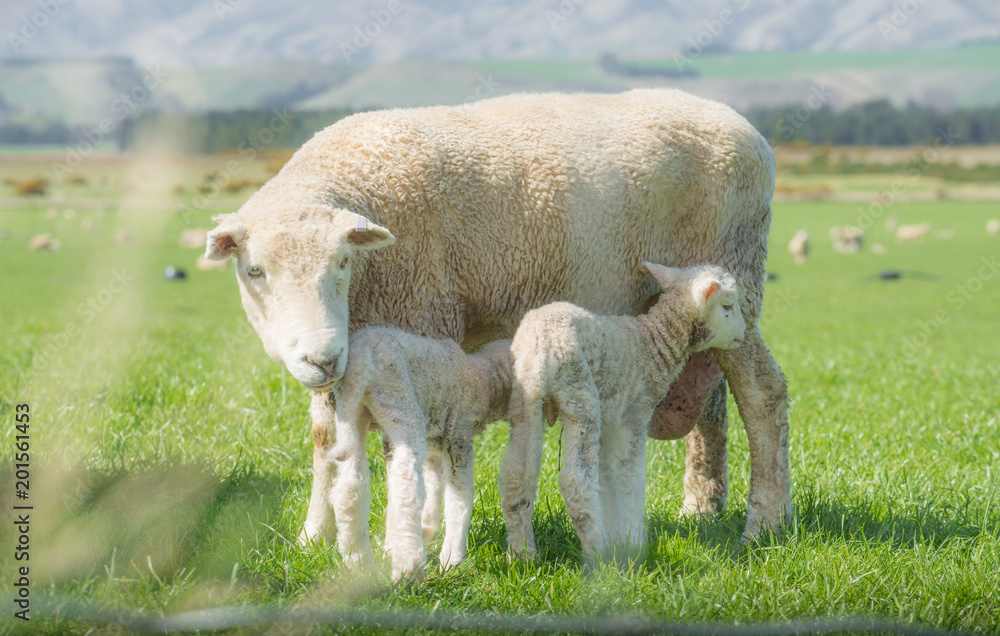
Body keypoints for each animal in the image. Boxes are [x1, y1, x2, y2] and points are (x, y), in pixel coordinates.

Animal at [312, 328, 513, 581]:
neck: (482, 377)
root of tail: (361, 352)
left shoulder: (436, 446)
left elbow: (436, 483)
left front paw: (429, 528)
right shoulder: (459, 435)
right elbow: (460, 496)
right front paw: (453, 560)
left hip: (352, 412)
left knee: (349, 487)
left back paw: (359, 565)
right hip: (398, 401)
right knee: (405, 485)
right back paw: (409, 567)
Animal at [501, 262, 745, 559]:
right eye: (727, 306)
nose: (743, 334)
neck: (652, 343)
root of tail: (541, 344)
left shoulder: (610, 420)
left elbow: (608, 480)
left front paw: (617, 532)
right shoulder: (633, 415)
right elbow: (632, 479)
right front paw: (634, 541)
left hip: (525, 398)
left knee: (517, 473)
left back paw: (522, 554)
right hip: (579, 393)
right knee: (575, 480)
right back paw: (598, 552)